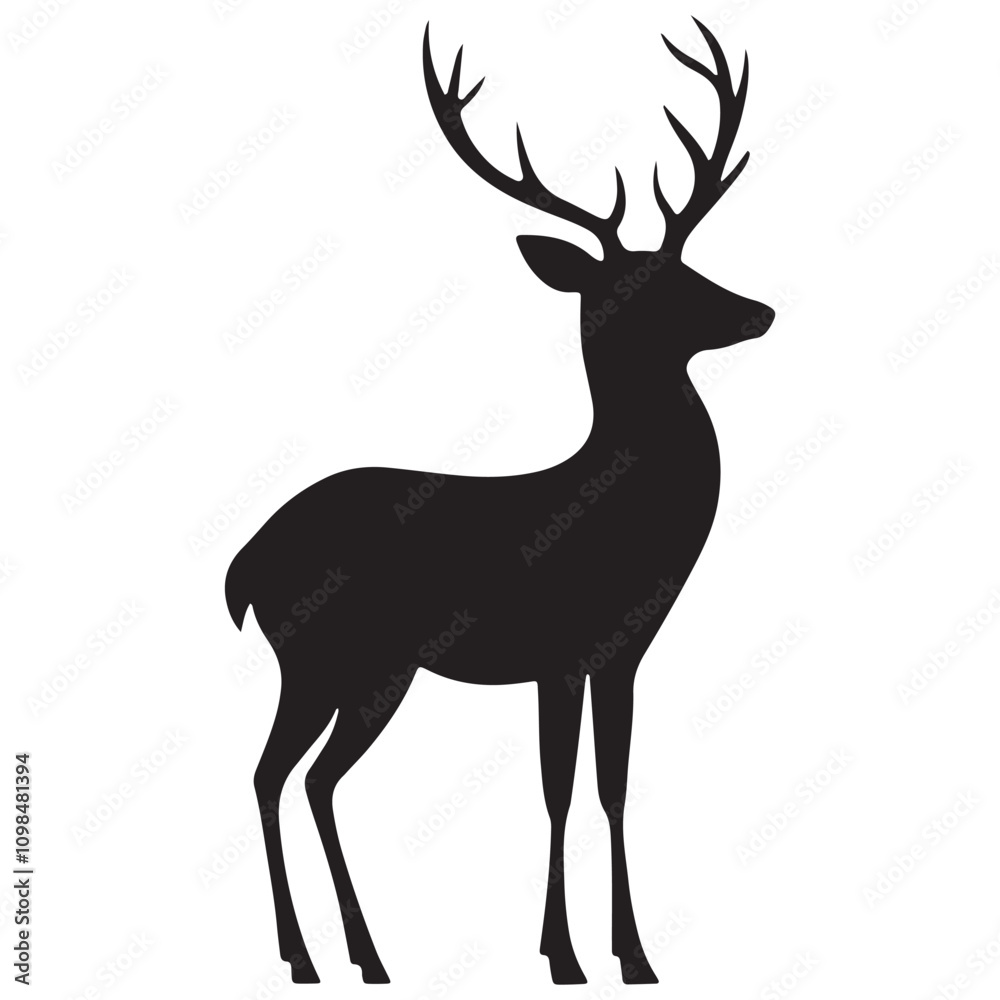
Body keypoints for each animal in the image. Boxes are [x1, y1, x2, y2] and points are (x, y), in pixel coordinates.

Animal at [224, 18, 774, 987]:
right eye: (641, 288)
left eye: (690, 266)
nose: (760, 310)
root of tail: (244, 566)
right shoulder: (557, 647)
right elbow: (556, 789)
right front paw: (564, 956)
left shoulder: (623, 651)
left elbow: (611, 786)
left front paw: (634, 955)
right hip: (329, 656)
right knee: (276, 774)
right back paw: (314, 957)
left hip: (362, 670)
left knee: (309, 778)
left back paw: (357, 956)